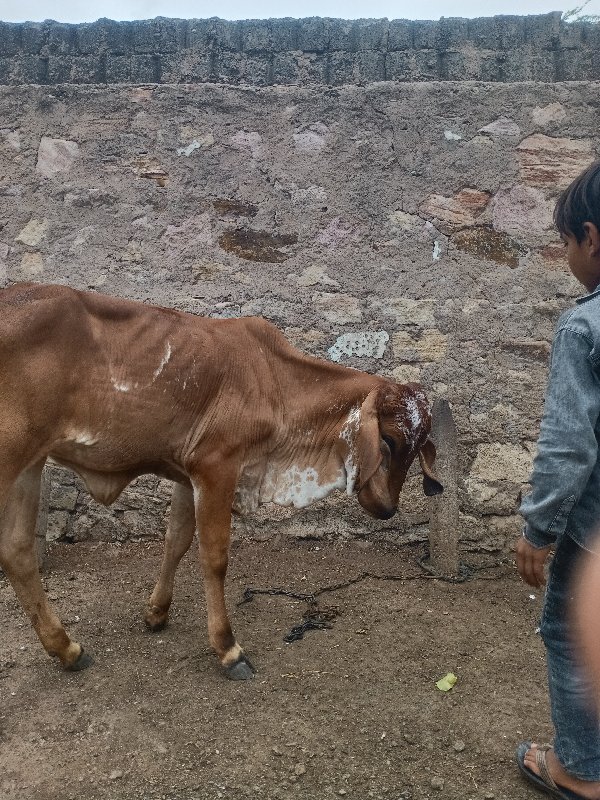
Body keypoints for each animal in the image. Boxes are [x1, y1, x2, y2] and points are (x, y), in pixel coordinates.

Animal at [0, 284, 440, 680]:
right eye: (389, 440)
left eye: (417, 448)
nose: (389, 507)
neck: (275, 380)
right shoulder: (217, 468)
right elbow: (214, 557)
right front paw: (228, 648)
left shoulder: (186, 473)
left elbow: (176, 540)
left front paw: (156, 613)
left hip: (30, 464)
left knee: (17, 552)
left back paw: (67, 648)